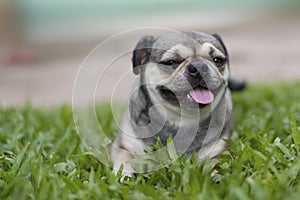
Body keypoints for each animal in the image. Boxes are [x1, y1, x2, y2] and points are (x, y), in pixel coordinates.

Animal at [110, 31, 244, 177]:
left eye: (217, 60)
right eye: (171, 62)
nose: (199, 66)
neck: (180, 119)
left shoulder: (217, 152)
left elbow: (215, 163)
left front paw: (217, 176)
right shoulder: (124, 146)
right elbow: (124, 158)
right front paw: (124, 176)